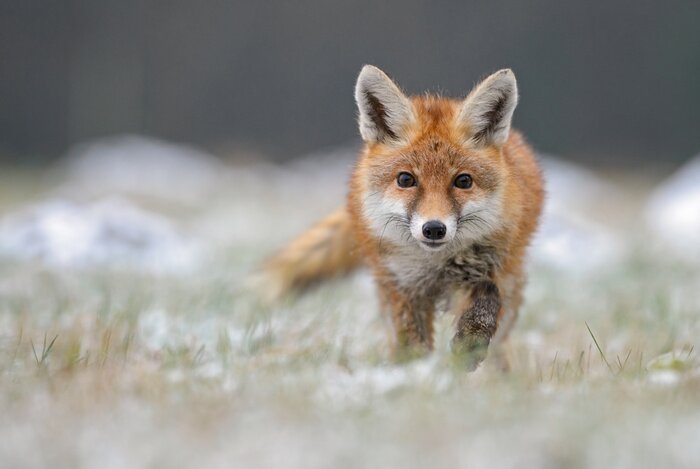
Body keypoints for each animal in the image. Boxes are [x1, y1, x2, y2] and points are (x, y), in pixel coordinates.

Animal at [260, 65, 544, 370]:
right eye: (406, 179)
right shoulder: (402, 285)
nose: (434, 229)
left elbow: (487, 301)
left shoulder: (491, 269)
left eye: (463, 181)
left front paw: (468, 346)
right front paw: (414, 371)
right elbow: (411, 343)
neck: (435, 266)